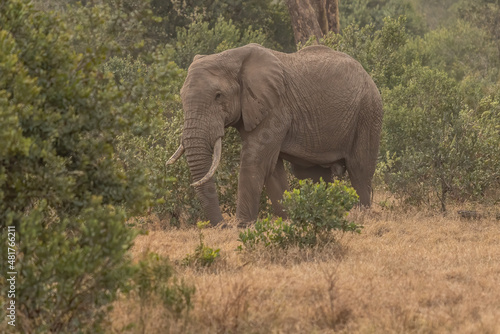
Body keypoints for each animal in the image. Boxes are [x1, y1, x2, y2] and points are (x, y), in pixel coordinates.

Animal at [168, 43, 382, 226]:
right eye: (181, 96)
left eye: (218, 96)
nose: (223, 226)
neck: (232, 57)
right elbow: (272, 169)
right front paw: (288, 219)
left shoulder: (275, 108)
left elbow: (255, 160)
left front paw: (242, 226)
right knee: (313, 174)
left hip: (368, 112)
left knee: (359, 169)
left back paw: (361, 216)